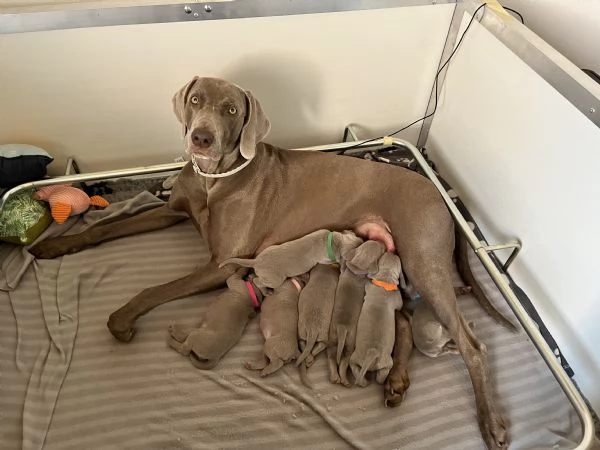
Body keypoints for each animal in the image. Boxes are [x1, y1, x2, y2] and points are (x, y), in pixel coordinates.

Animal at [220, 229, 360, 292]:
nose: (364, 239)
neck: (332, 240)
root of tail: (256, 261)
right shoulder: (323, 258)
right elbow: (330, 261)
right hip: (275, 279)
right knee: (258, 282)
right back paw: (266, 292)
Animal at [350, 253, 406, 386]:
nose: (393, 252)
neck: (385, 279)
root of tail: (372, 352)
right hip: (385, 362)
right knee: (381, 376)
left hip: (358, 357)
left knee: (357, 369)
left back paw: (365, 381)